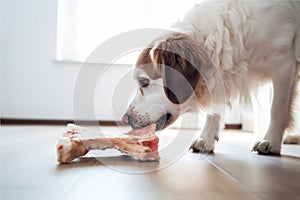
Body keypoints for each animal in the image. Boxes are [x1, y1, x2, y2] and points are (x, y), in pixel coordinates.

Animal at [122, 0, 300, 155]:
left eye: (144, 82)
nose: (125, 119)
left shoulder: (284, 64)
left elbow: (277, 108)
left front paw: (271, 142)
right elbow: (214, 111)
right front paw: (206, 139)